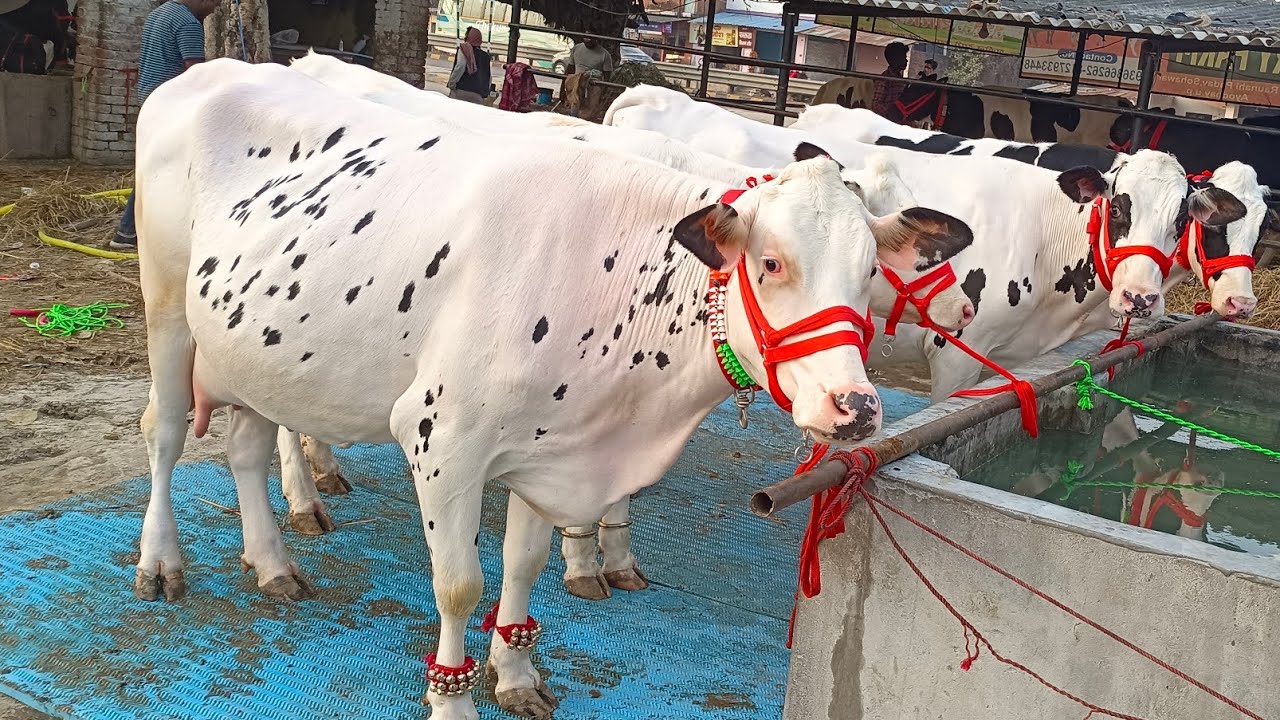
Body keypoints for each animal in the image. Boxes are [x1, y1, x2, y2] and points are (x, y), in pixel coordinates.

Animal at [133, 59, 976, 718]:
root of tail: (210, 71)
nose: (855, 407)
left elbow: (524, 566)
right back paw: (163, 562)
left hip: (253, 350)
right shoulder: (443, 441)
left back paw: (272, 561)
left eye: (869, 271)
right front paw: (453, 700)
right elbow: (459, 584)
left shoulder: (548, 450)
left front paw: (514, 672)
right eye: (770, 262)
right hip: (168, 309)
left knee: (245, 446)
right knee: (165, 435)